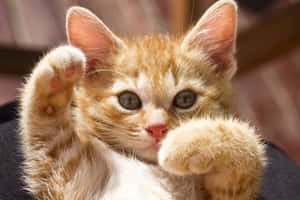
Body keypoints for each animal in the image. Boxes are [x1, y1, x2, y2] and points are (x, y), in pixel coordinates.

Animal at [19, 0, 266, 199]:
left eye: (185, 99)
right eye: (128, 101)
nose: (157, 128)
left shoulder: (230, 194)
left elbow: (248, 146)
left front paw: (184, 144)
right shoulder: (69, 178)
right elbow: (47, 132)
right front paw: (57, 69)